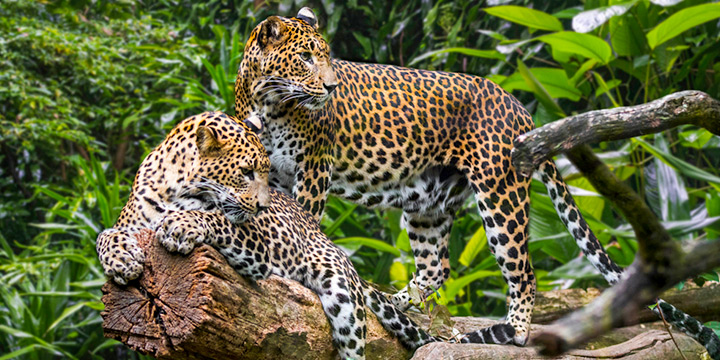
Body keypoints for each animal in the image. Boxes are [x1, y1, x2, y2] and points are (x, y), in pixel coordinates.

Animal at [95, 111, 516, 358]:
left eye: (265, 173)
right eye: (246, 172)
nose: (264, 206)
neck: (175, 187)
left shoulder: (258, 245)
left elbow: (218, 220)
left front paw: (183, 226)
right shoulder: (132, 221)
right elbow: (105, 234)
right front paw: (122, 259)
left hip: (343, 296)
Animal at [236, 8, 720, 354]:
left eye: (327, 57)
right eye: (305, 58)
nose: (332, 87)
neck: (267, 100)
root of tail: (518, 105)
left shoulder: (312, 171)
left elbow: (304, 222)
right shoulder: (270, 173)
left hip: (500, 192)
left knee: (523, 270)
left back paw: (510, 333)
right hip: (428, 202)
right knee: (437, 267)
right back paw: (397, 302)